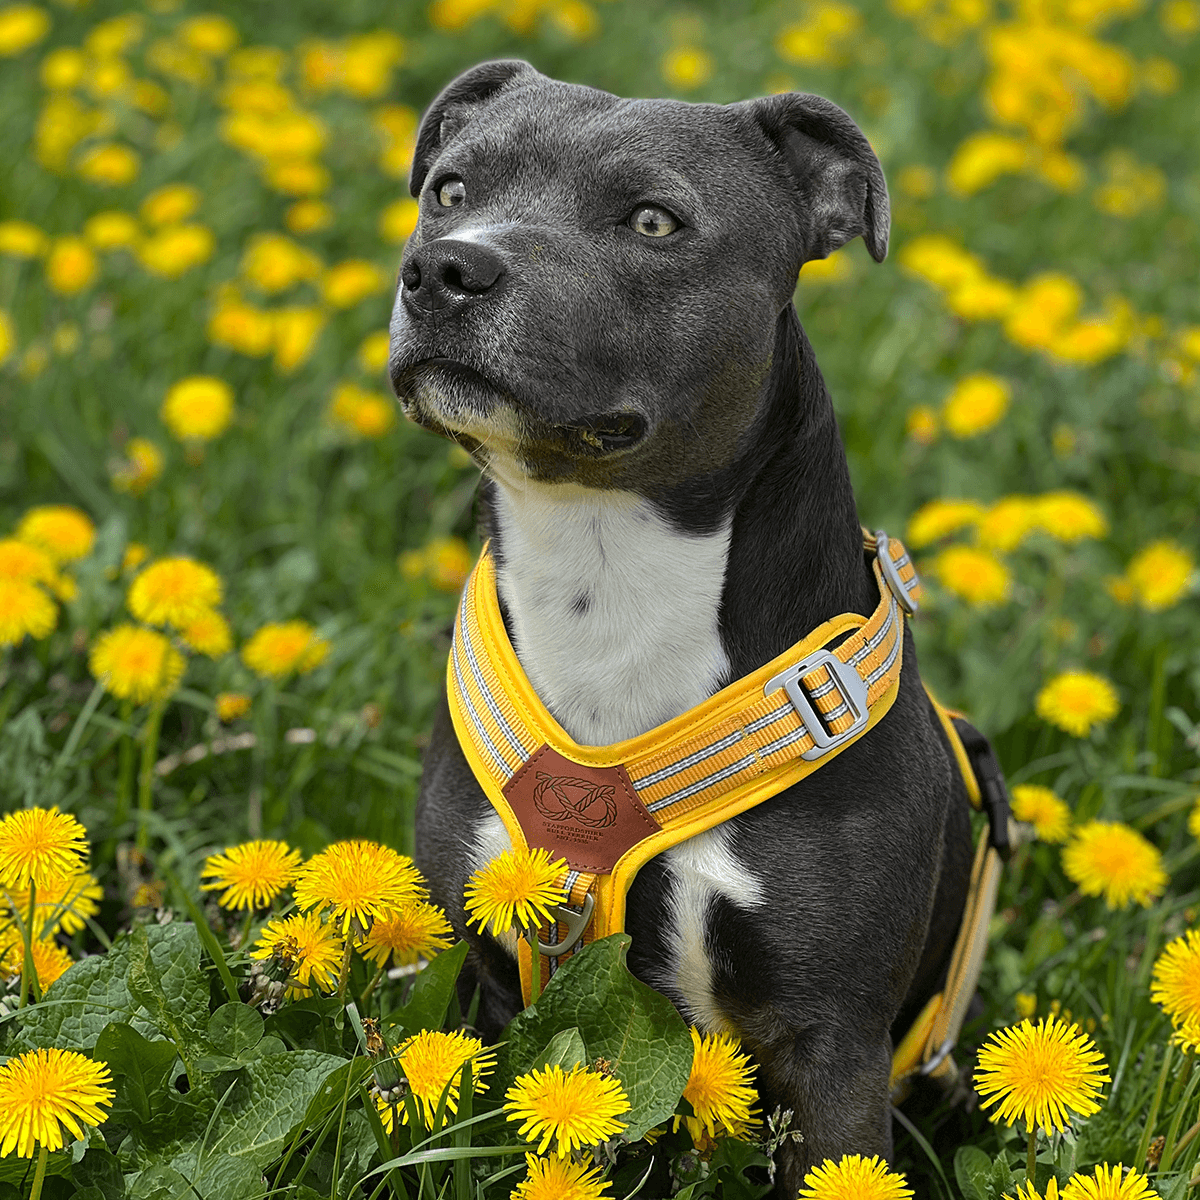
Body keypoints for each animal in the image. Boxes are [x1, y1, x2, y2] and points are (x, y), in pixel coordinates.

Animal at [388, 60, 979, 1185]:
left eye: (654, 221)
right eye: (449, 189)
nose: (443, 268)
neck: (604, 559)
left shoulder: (832, 1041)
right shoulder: (490, 984)